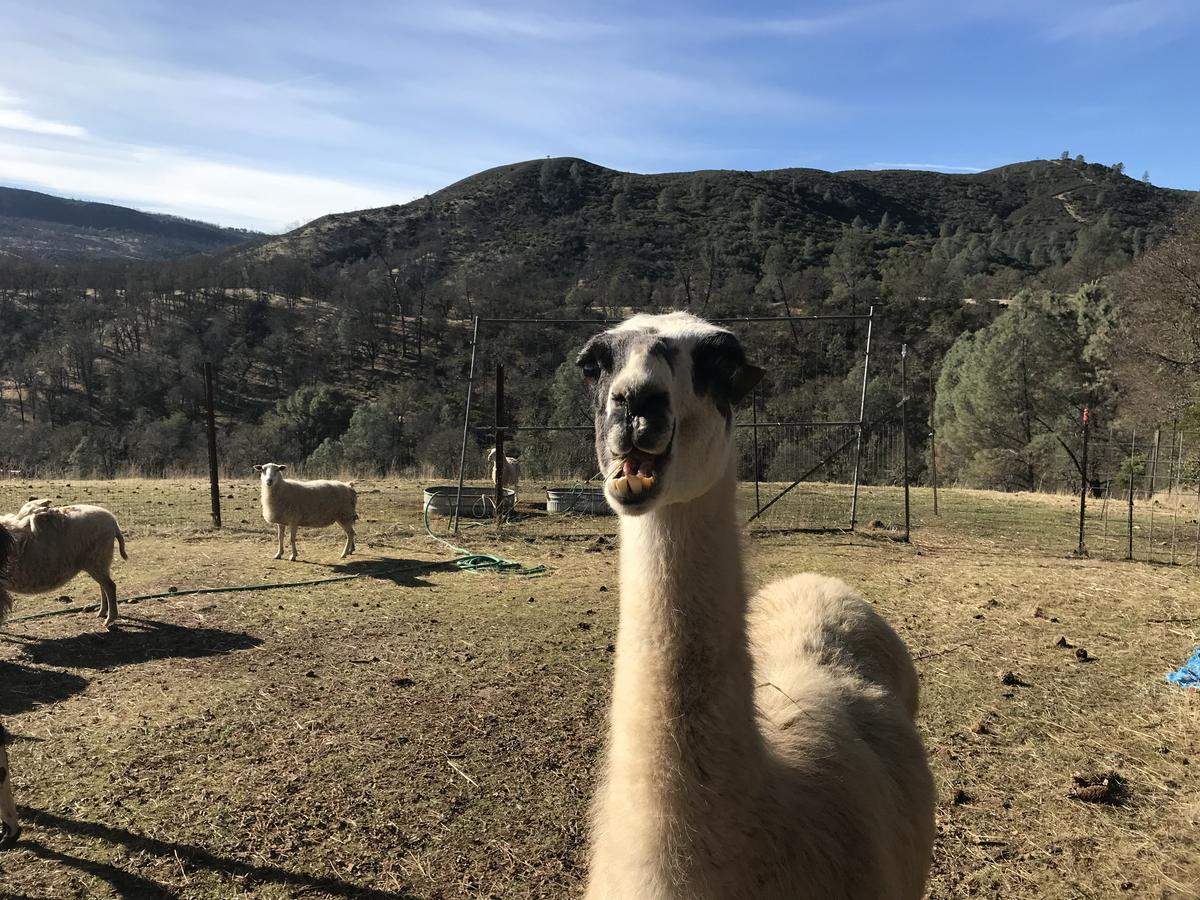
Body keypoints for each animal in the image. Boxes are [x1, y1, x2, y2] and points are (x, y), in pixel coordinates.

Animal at [0, 504, 128, 628]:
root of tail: (113, 522)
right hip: (100, 562)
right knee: (103, 586)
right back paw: (101, 612)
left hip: (97, 559)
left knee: (110, 586)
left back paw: (109, 619)